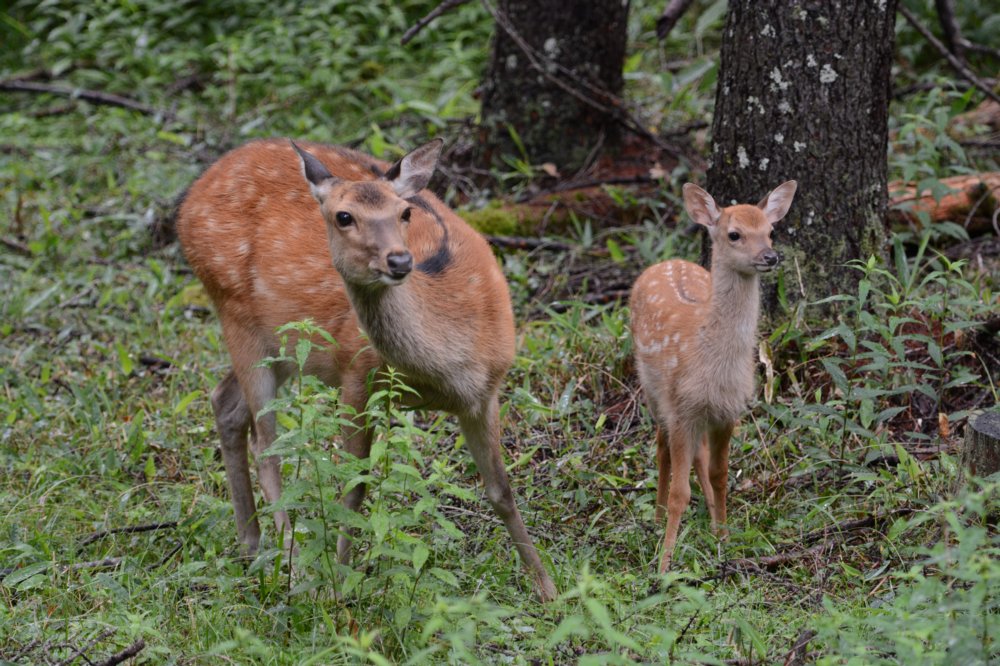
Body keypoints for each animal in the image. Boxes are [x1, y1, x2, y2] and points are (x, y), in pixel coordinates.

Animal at [176, 137, 560, 600]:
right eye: (344, 217)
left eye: (405, 212)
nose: (399, 260)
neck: (447, 371)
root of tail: (188, 201)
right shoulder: (355, 373)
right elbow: (354, 487)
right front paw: (339, 587)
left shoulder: (486, 392)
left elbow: (501, 490)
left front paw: (549, 591)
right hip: (235, 313)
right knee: (266, 448)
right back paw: (292, 570)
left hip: (281, 344)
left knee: (225, 403)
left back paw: (252, 548)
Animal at [632, 179, 796, 568]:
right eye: (735, 234)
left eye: (770, 231)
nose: (770, 257)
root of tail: (667, 261)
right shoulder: (681, 408)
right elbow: (679, 492)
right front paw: (664, 563)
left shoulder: (728, 411)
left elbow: (720, 474)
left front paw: (723, 540)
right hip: (653, 389)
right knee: (661, 445)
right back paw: (657, 519)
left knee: (699, 456)